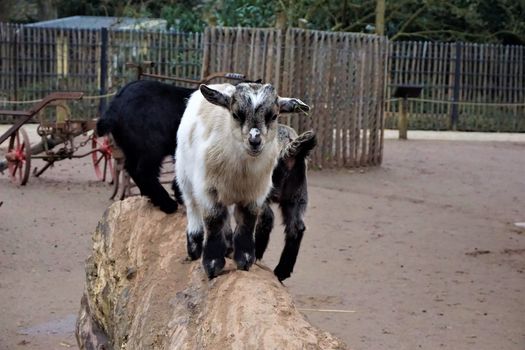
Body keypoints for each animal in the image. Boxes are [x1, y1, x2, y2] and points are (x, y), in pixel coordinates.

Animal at [174, 82, 310, 278]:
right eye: (236, 114)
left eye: (274, 115)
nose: (254, 140)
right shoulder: (209, 190)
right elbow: (214, 220)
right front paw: (212, 265)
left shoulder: (255, 193)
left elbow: (247, 221)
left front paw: (244, 260)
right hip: (184, 174)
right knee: (192, 206)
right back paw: (194, 248)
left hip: (296, 195)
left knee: (293, 226)